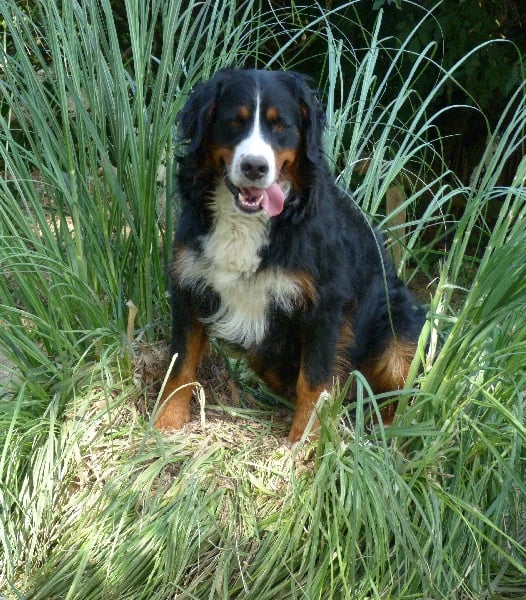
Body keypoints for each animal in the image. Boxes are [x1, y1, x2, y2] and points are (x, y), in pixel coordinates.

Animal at [155, 69, 426, 446]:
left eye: (280, 126)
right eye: (234, 122)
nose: (254, 167)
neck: (247, 222)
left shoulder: (326, 308)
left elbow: (313, 382)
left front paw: (303, 444)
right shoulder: (190, 285)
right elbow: (179, 365)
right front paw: (167, 423)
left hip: (400, 330)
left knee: (399, 394)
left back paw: (384, 433)